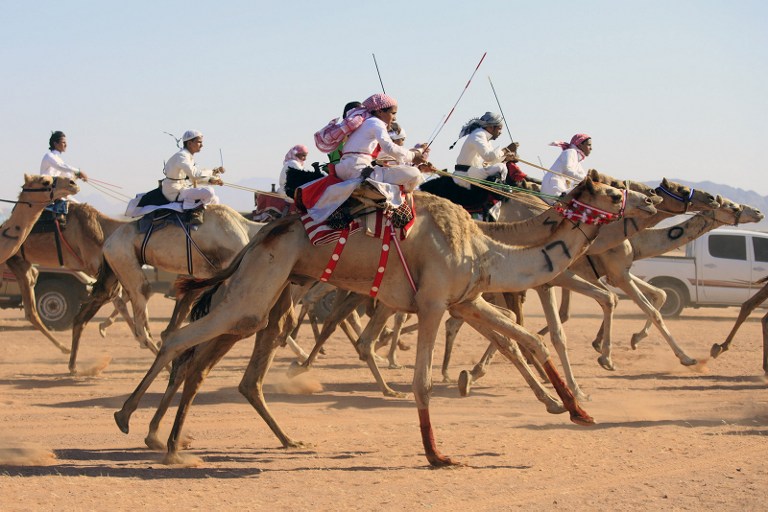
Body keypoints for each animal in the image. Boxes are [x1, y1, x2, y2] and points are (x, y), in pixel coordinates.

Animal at [115, 179, 660, 468]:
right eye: (612, 189)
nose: (652, 199)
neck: (487, 247)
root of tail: (256, 236)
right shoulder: (435, 304)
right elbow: (422, 382)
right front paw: (439, 456)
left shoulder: (466, 301)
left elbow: (528, 339)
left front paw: (578, 411)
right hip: (258, 288)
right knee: (180, 338)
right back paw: (143, 430)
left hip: (265, 295)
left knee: (219, 361)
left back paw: (179, 437)